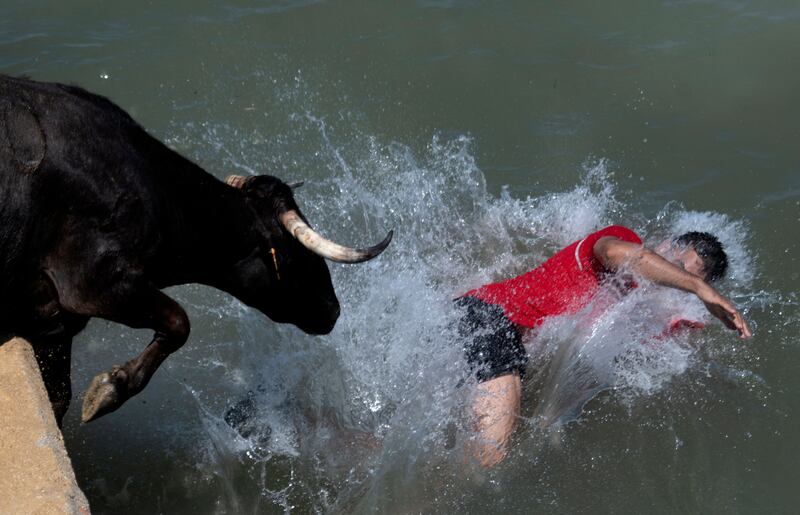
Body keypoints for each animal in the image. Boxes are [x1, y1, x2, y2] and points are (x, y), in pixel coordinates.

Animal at [0, 75, 392, 426]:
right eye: (297, 256)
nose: (333, 309)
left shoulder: (52, 321)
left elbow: (58, 397)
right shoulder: (93, 285)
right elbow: (179, 322)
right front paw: (107, 390)